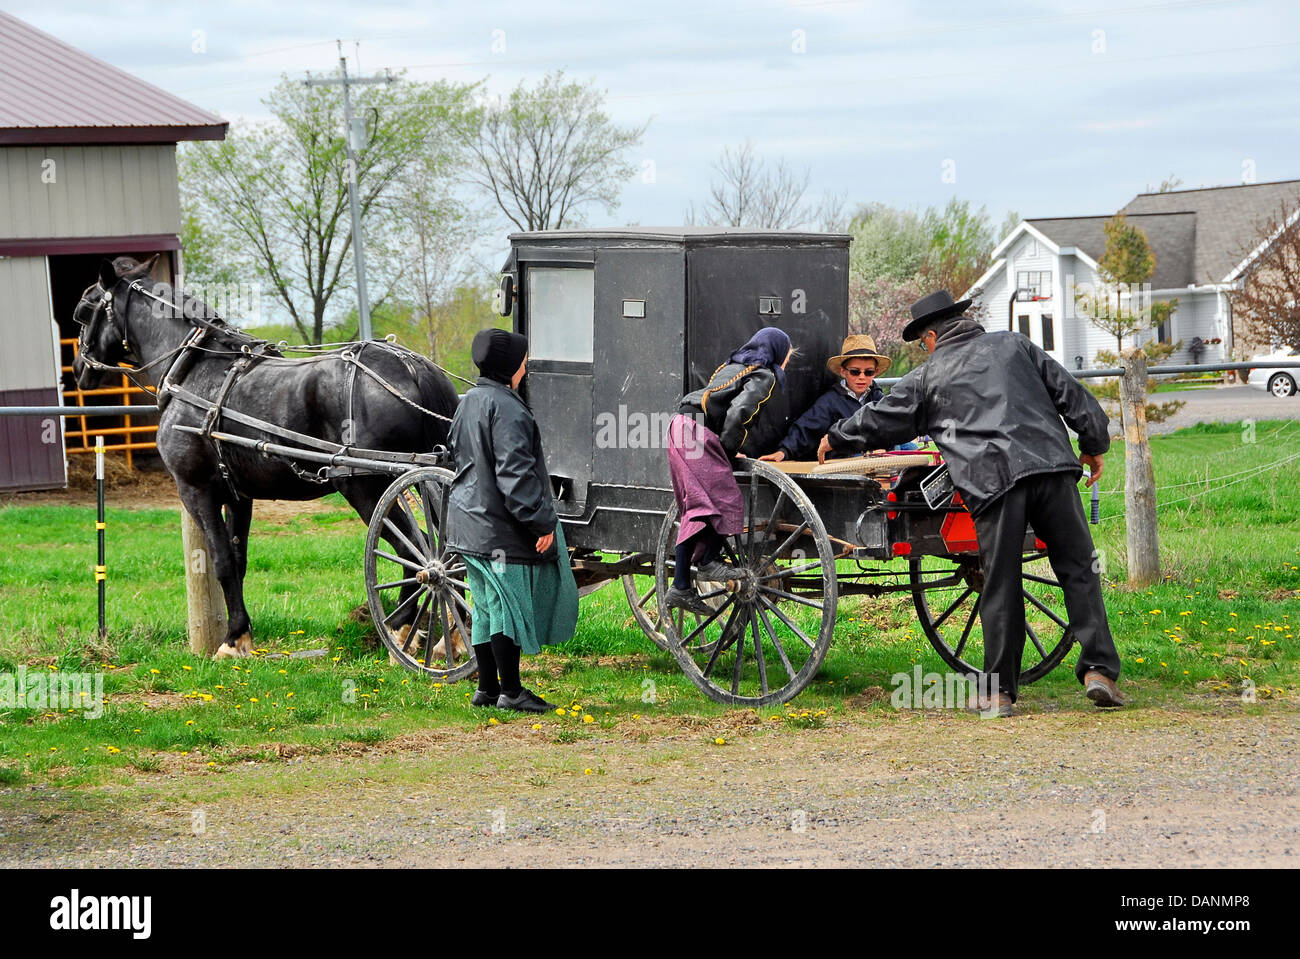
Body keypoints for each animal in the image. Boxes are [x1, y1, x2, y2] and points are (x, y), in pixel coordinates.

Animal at [73, 255, 462, 659]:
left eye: (83, 311)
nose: (78, 369)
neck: (194, 371)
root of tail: (411, 365)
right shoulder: (238, 495)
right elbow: (238, 560)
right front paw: (242, 634)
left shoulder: (197, 490)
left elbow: (221, 562)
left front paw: (232, 640)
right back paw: (451, 639)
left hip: (366, 488)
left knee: (416, 551)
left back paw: (401, 630)